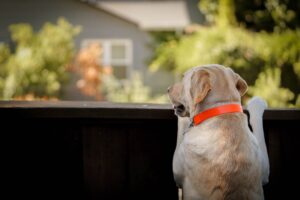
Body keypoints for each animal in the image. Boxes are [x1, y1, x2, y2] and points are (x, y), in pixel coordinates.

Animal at [169, 65, 270, 199]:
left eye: (184, 77)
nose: (168, 89)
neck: (219, 109)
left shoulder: (178, 170)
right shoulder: (263, 169)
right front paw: (257, 103)